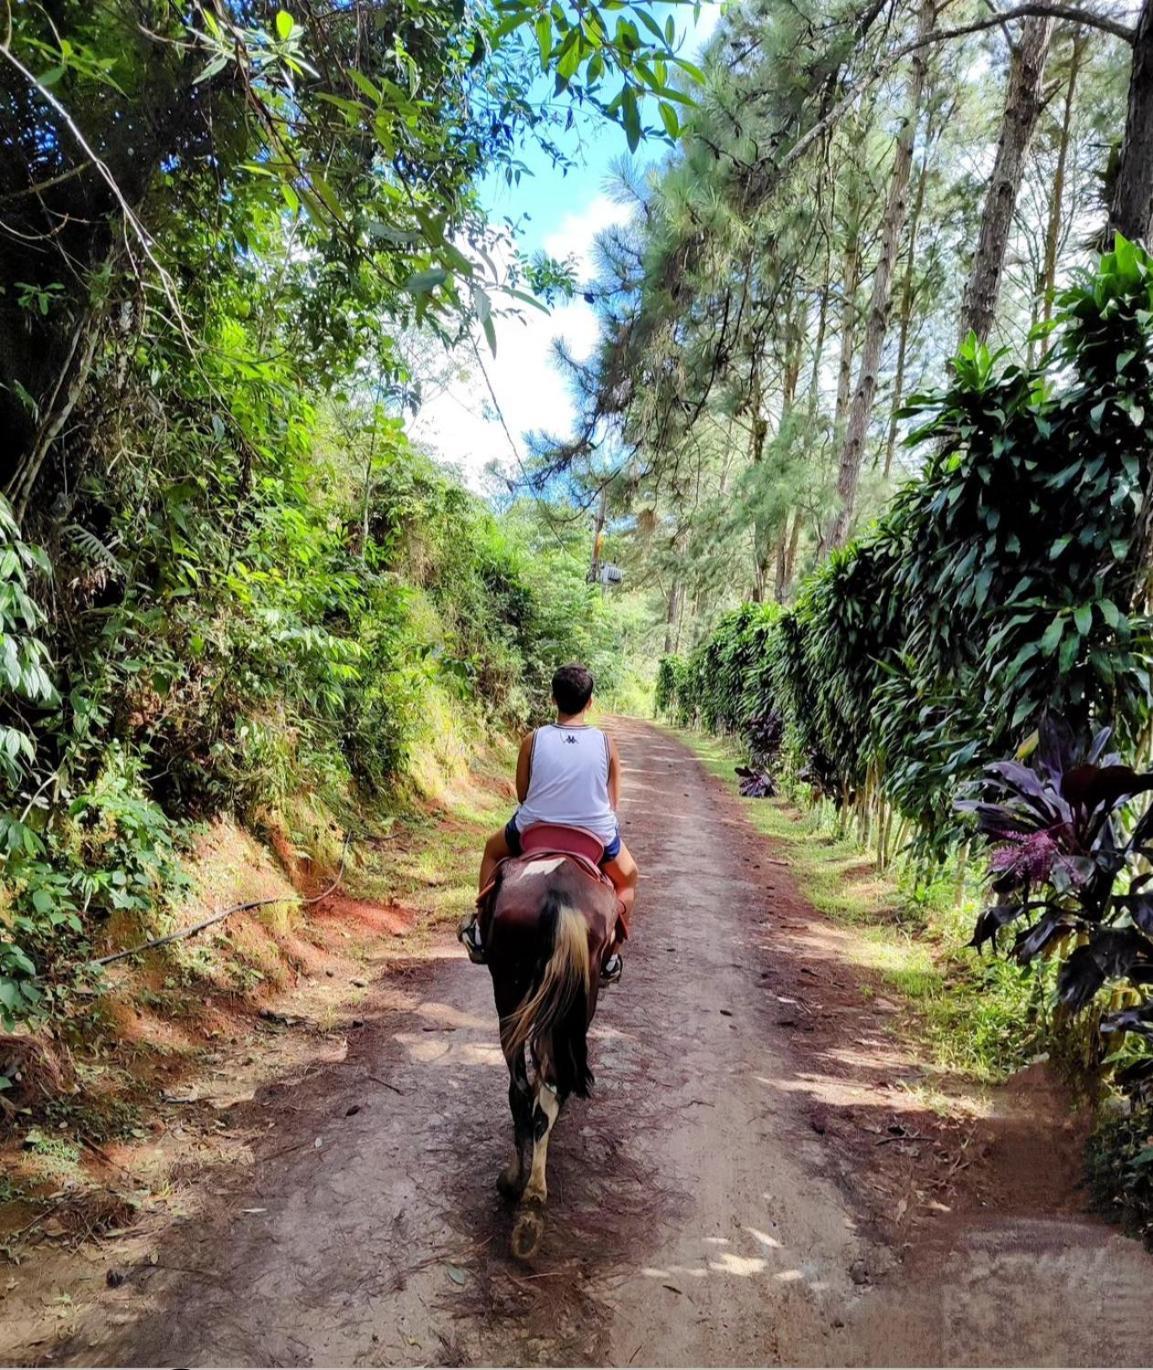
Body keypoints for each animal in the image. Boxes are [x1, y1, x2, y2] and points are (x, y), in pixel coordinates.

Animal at [479, 822, 616, 1260]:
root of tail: (561, 899)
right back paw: (530, 1197)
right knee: (541, 1088)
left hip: (511, 993)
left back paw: (522, 1188)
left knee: (525, 1089)